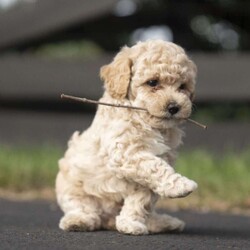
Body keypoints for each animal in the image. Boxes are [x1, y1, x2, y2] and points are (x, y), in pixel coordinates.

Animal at [55, 39, 198, 234]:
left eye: (182, 87)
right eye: (152, 82)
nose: (174, 107)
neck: (148, 122)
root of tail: (107, 219)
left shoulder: (155, 163)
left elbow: (141, 199)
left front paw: (130, 223)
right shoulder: (125, 152)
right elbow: (156, 167)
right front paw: (181, 186)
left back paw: (164, 223)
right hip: (73, 187)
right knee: (84, 209)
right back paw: (77, 221)